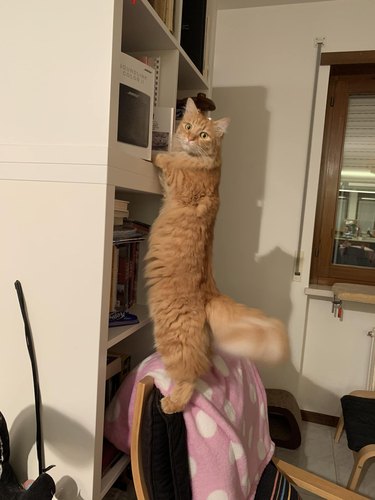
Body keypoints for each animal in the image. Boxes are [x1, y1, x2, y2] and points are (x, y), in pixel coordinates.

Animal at [145, 98, 290, 414]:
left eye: (203, 135)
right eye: (187, 126)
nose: (189, 138)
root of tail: (210, 292)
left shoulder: (180, 181)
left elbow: (168, 163)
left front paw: (157, 153)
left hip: (171, 337)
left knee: (191, 373)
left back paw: (171, 403)